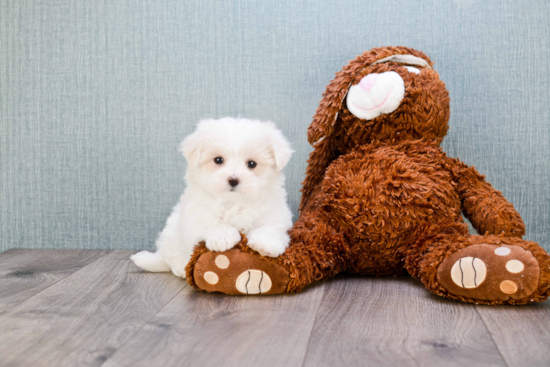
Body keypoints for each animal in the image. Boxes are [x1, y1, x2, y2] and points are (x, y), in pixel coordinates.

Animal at [132, 118, 296, 278]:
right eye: (218, 160)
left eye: (251, 164)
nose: (233, 180)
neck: (234, 202)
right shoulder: (196, 211)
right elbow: (210, 221)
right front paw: (223, 237)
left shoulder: (276, 214)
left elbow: (271, 227)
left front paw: (266, 243)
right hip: (172, 232)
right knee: (173, 256)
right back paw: (181, 267)